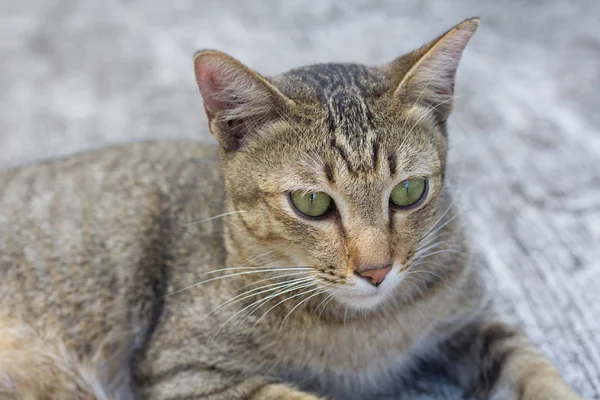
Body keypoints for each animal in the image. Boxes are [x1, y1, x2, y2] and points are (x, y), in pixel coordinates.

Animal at [0, 18, 580, 400]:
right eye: (312, 202)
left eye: (409, 192)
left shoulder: (472, 319)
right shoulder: (181, 370)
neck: (368, 329)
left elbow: (534, 367)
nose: (376, 270)